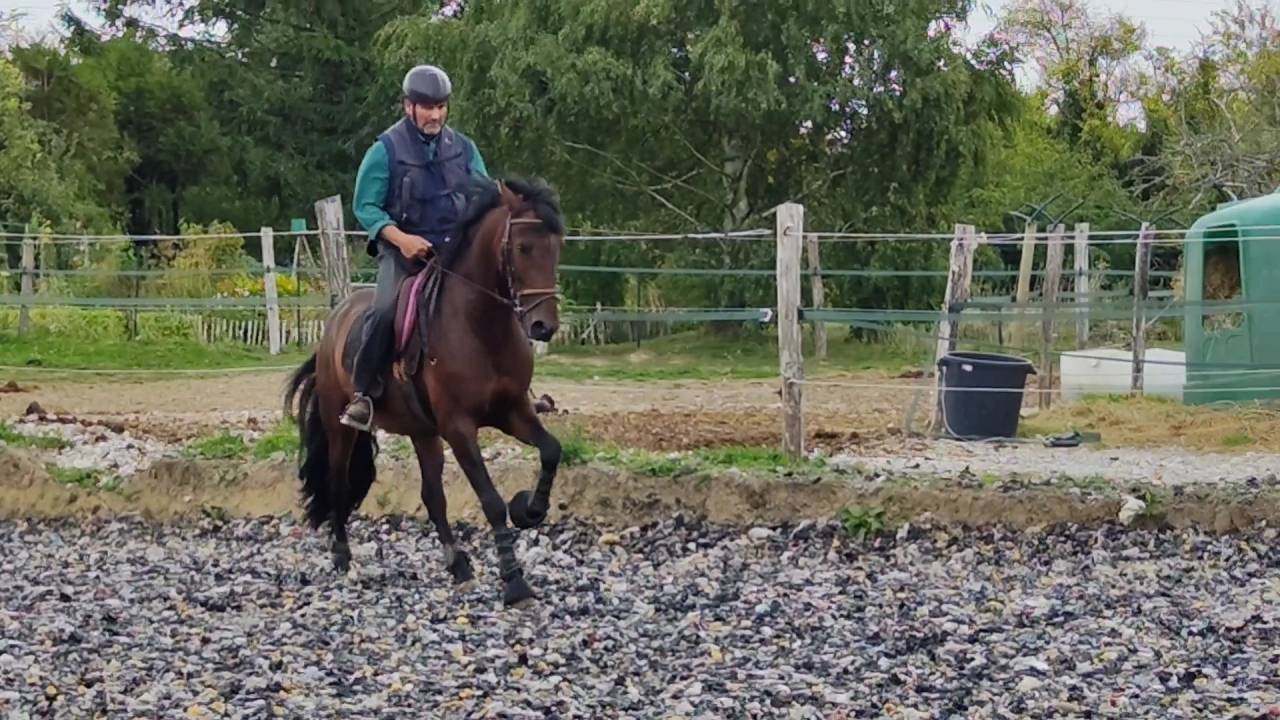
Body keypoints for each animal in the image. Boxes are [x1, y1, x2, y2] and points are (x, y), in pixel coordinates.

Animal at [282, 176, 565, 608]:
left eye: (555, 248)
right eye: (522, 248)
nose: (542, 327)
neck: (482, 327)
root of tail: (336, 318)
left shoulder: (513, 411)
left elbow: (551, 451)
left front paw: (529, 511)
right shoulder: (459, 427)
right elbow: (491, 500)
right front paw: (515, 583)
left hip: (422, 432)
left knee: (433, 495)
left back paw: (458, 566)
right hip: (341, 425)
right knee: (338, 482)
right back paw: (343, 557)